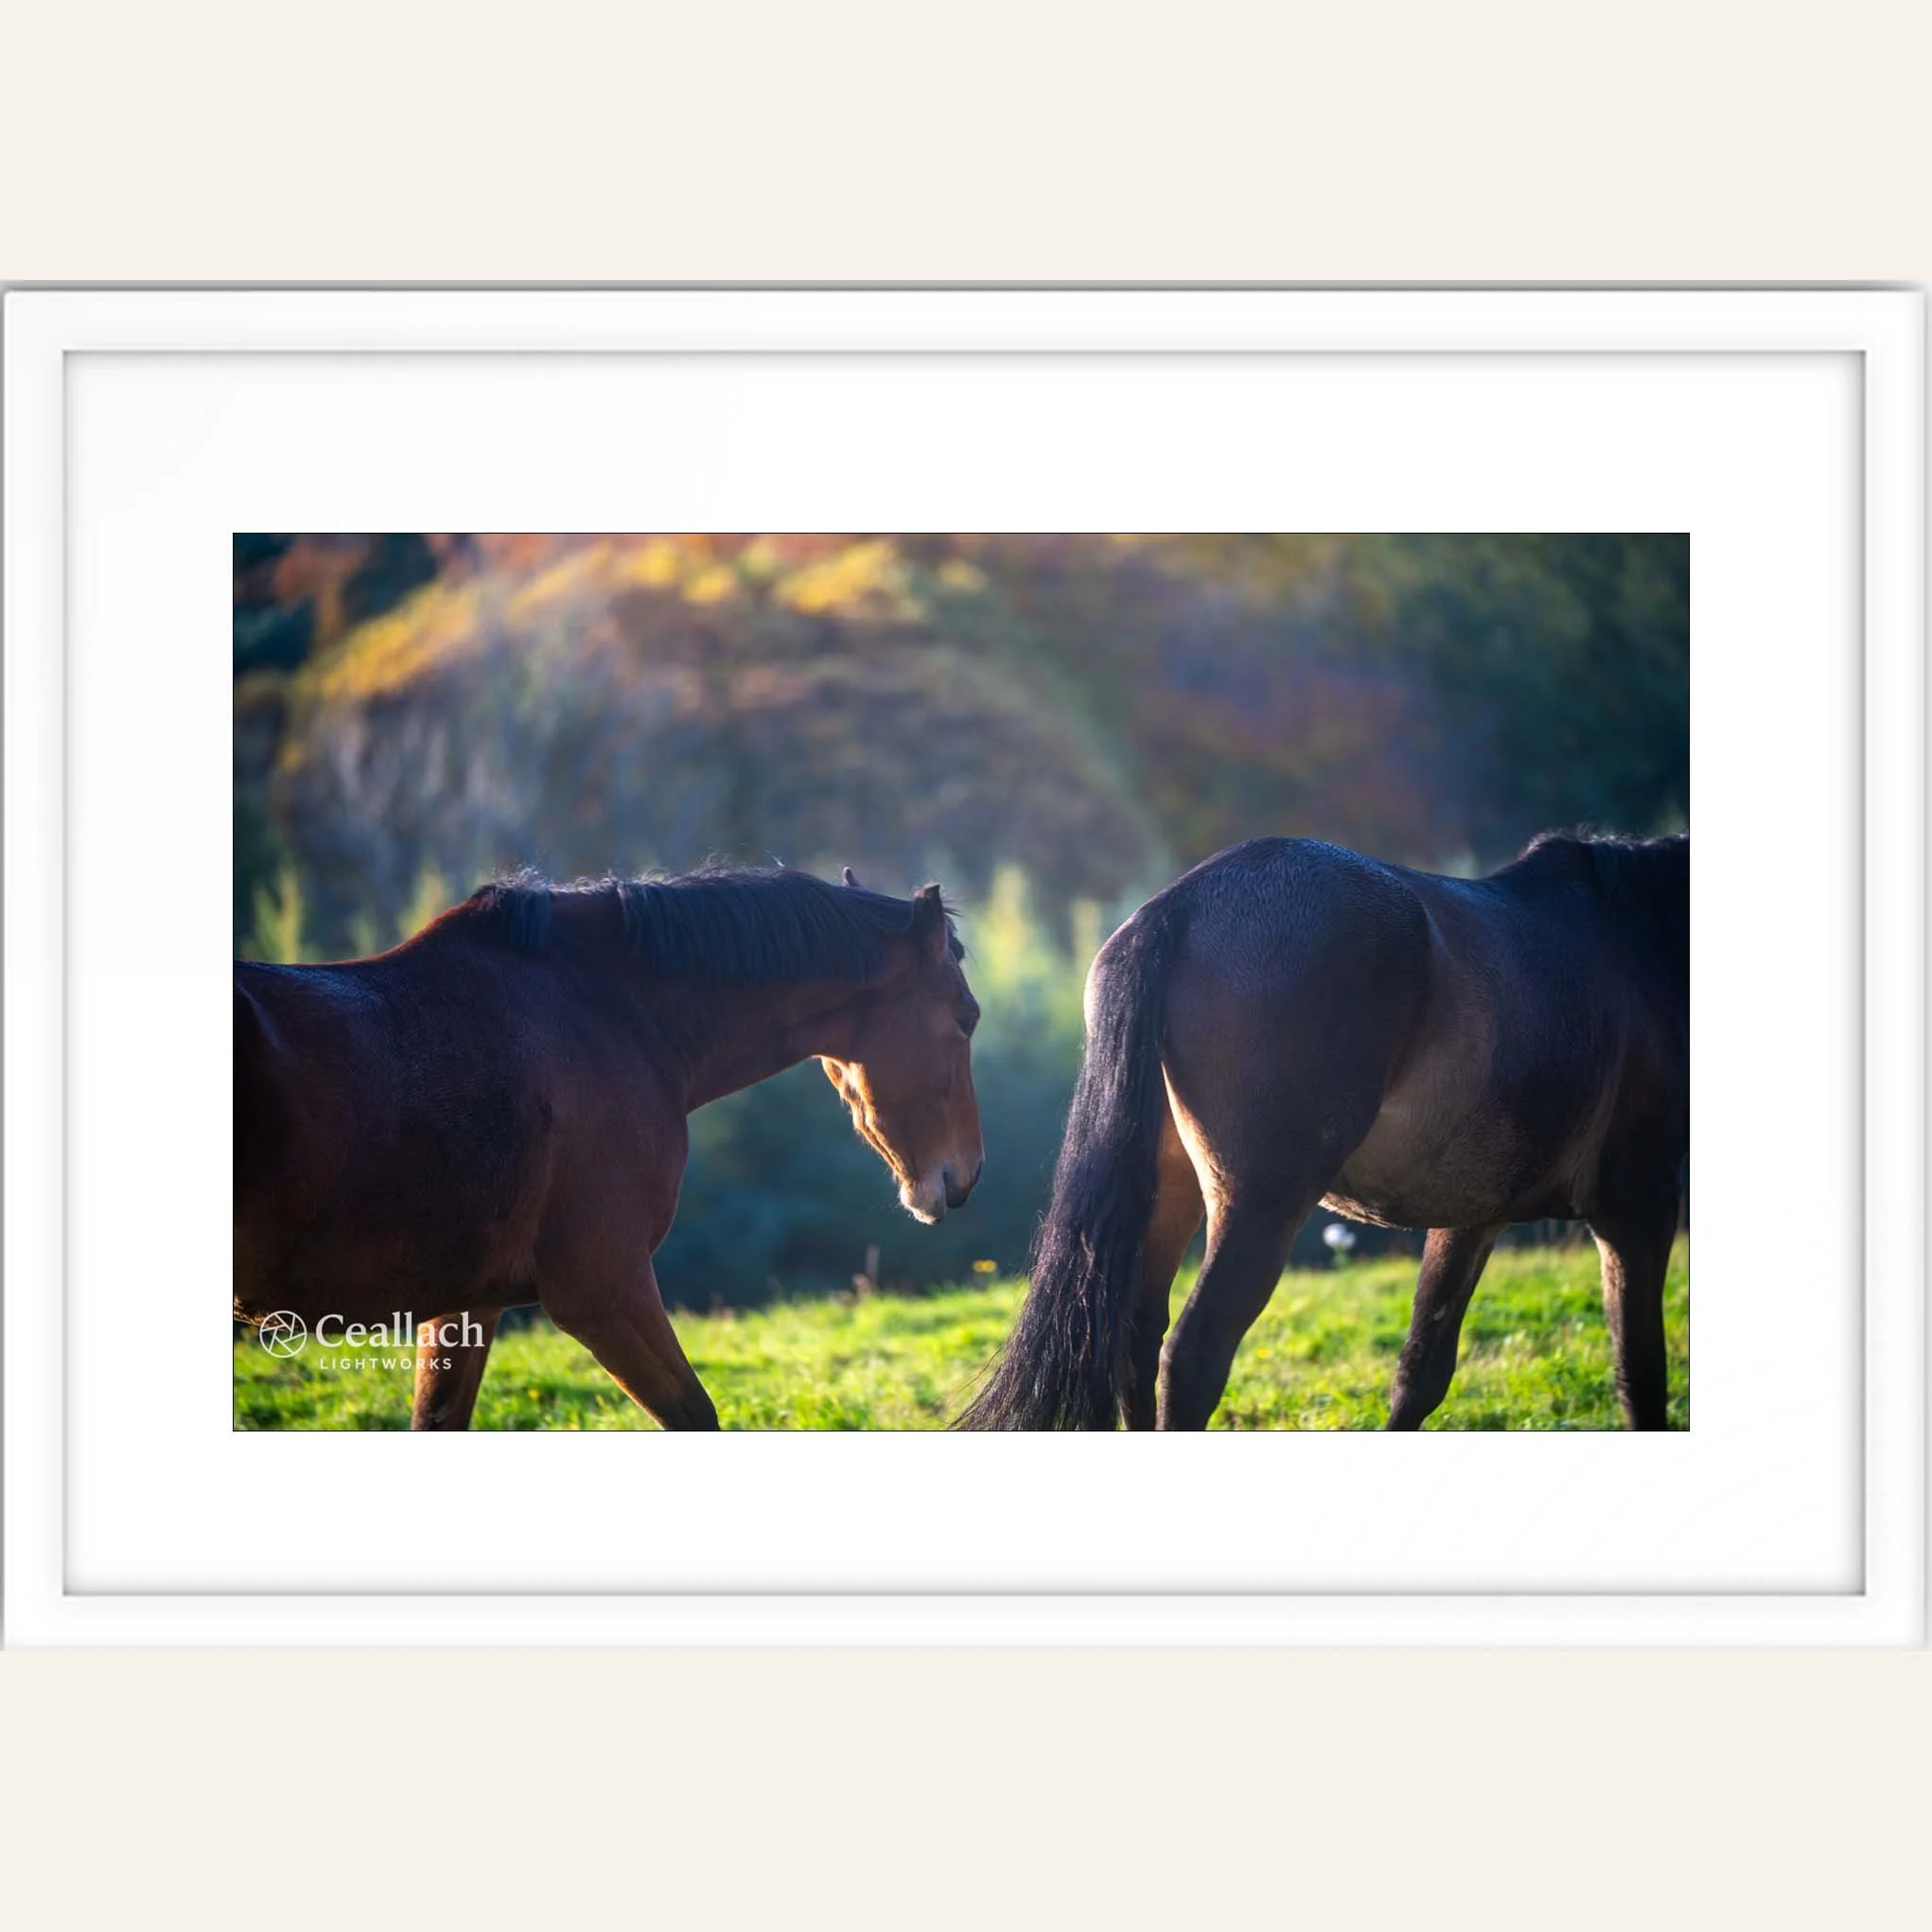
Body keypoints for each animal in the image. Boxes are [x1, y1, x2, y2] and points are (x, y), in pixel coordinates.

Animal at [235, 866, 984, 1429]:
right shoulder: (604, 1287)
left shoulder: (464, 1306)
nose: (968, 1174)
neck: (610, 1019)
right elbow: (695, 1414)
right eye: (967, 1018)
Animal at [960, 830, 1687, 1432]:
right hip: (1260, 1205)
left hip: (1170, 1194)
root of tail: (1177, 907)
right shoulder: (1638, 1210)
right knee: (1191, 1357)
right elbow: (1641, 1374)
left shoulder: (1474, 1214)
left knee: (1137, 1341)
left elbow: (1421, 1371)